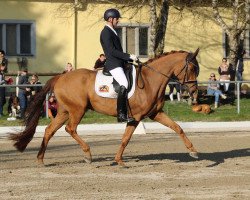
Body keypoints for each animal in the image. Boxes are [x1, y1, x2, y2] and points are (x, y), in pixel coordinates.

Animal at [9, 48, 200, 167]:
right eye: (191, 68)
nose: (193, 92)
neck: (150, 80)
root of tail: (61, 77)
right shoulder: (136, 117)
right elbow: (126, 139)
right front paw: (119, 161)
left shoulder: (155, 113)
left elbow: (177, 127)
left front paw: (193, 151)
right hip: (77, 110)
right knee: (70, 129)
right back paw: (87, 155)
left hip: (64, 111)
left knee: (49, 130)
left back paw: (40, 159)